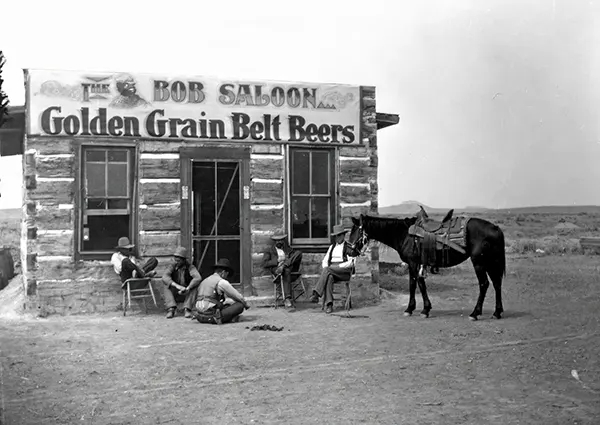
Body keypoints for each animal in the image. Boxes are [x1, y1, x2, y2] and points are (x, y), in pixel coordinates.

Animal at [346, 210, 506, 320]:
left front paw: (410, 309)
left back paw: (475, 313)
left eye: (355, 231)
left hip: (479, 262)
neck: (403, 234)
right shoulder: (418, 263)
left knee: (484, 284)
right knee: (497, 283)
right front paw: (425, 309)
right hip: (491, 261)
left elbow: (413, 284)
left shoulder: (412, 263)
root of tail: (495, 228)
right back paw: (497, 312)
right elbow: (421, 284)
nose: (348, 251)